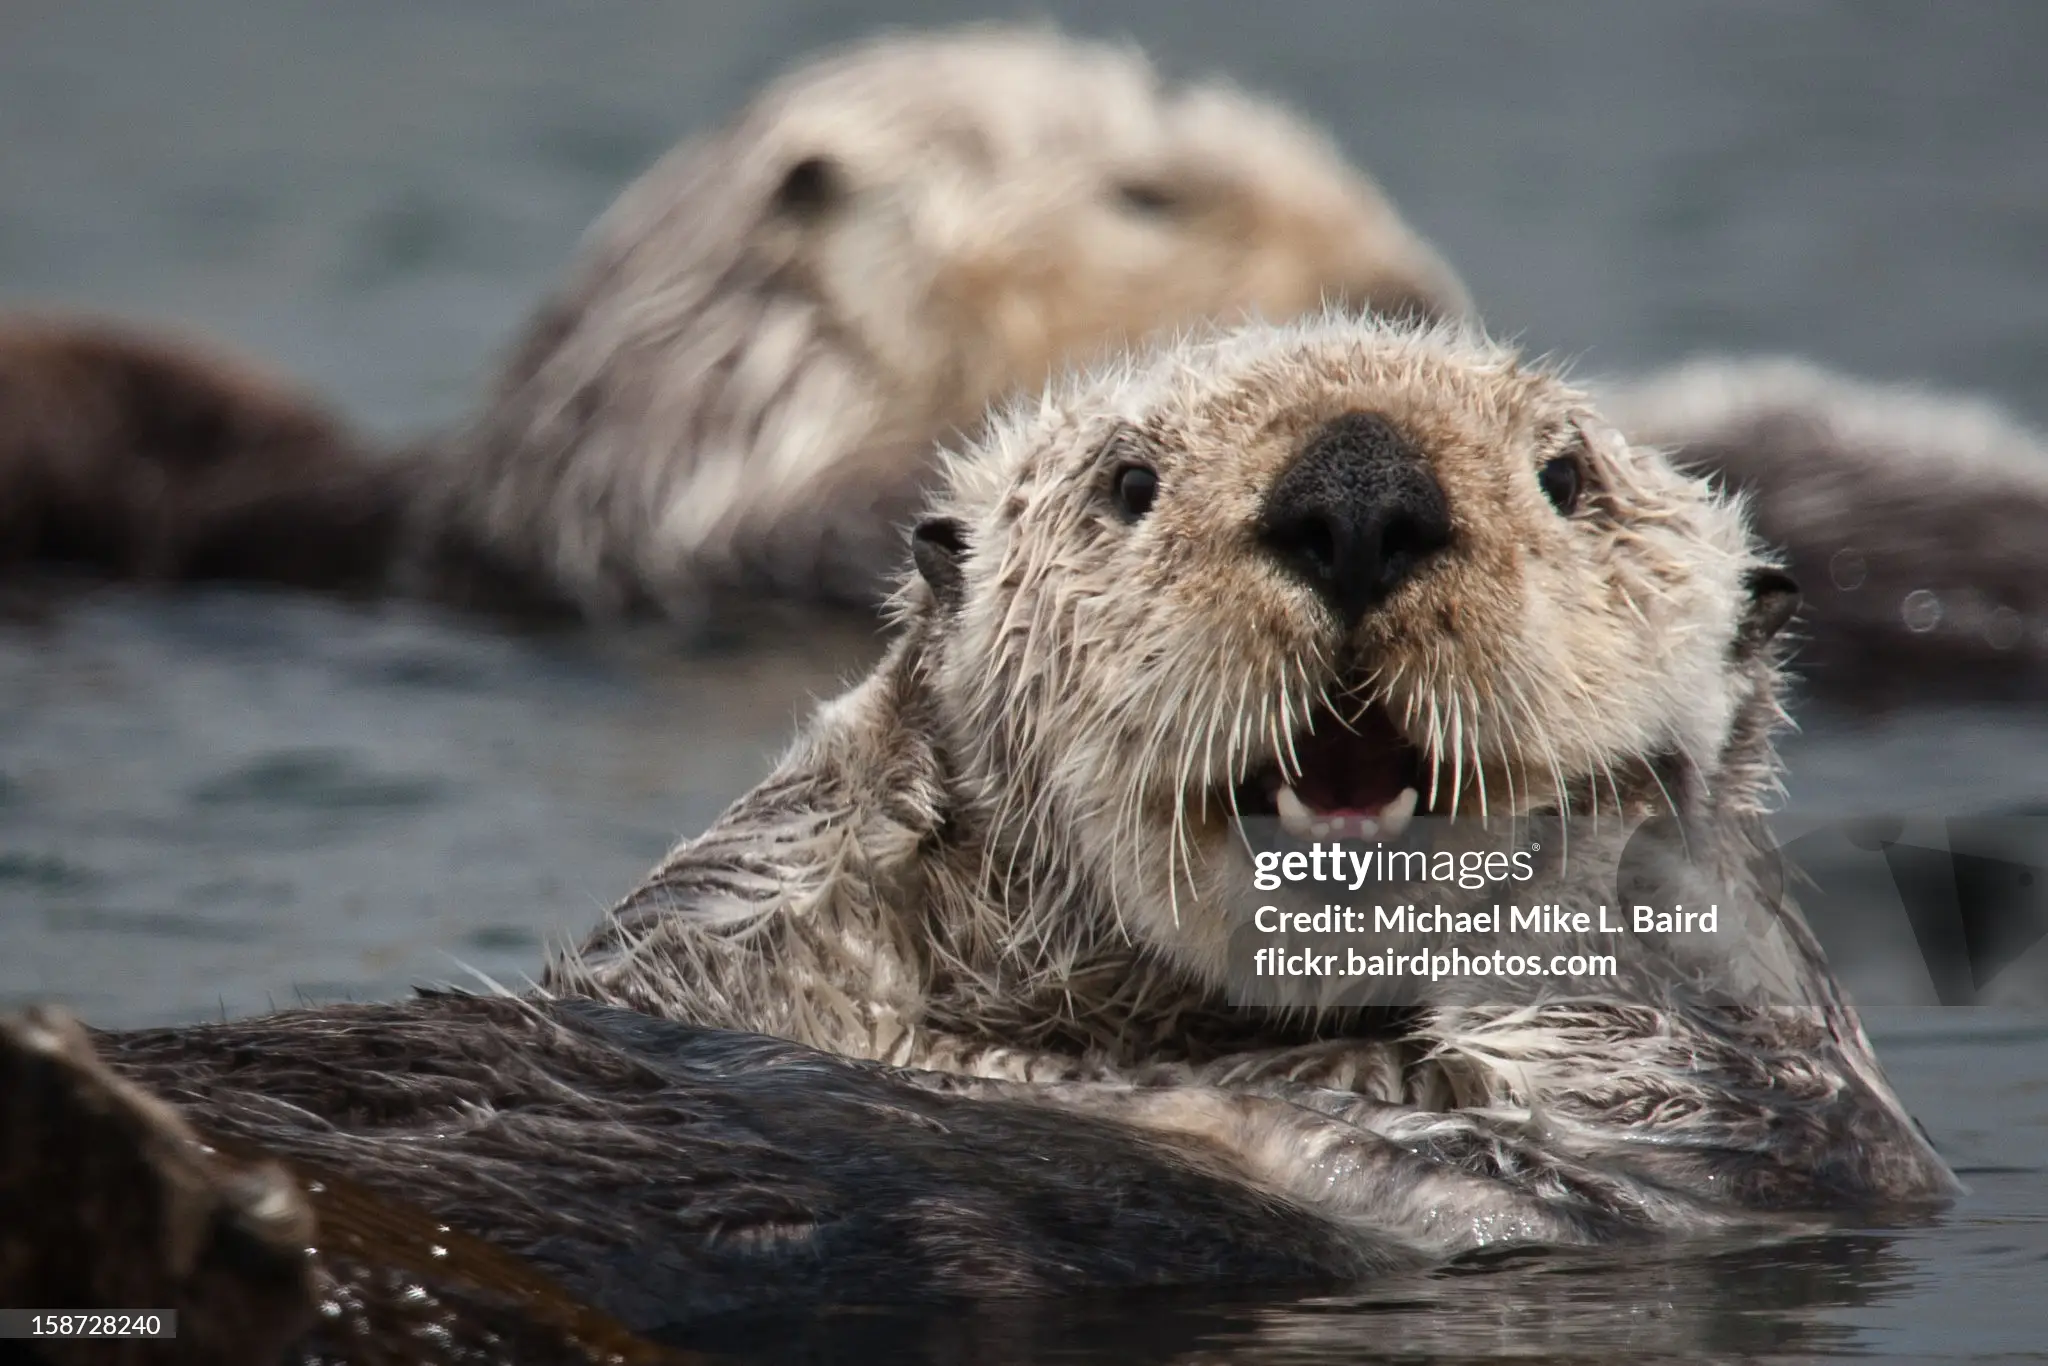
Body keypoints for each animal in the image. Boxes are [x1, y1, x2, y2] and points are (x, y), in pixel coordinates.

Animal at [0, 317, 1949, 1359]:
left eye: (1569, 480)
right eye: (1126, 482)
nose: (1358, 490)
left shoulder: (1761, 1140)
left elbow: (1669, 1050)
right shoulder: (713, 956)